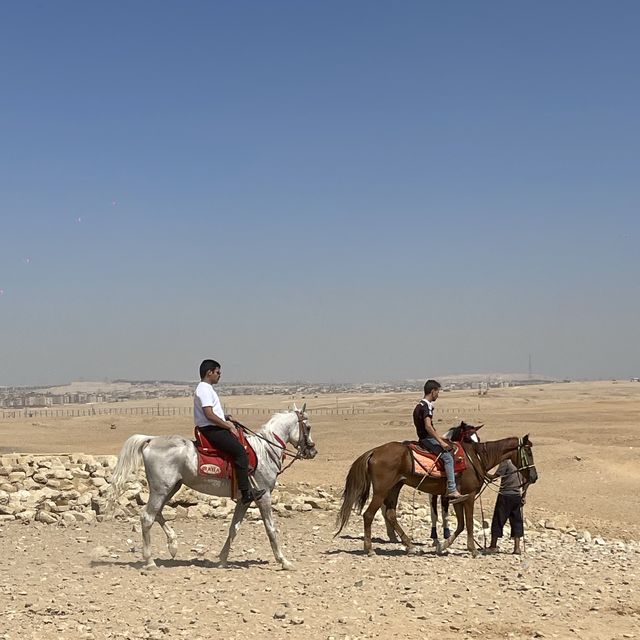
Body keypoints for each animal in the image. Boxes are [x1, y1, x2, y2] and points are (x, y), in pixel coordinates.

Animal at [109, 408, 316, 568]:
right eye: (308, 427)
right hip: (161, 489)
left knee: (157, 513)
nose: (313, 451)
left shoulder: (244, 499)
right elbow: (271, 529)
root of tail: (151, 441)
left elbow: (234, 528)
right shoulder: (263, 496)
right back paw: (150, 561)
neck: (264, 451)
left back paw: (173, 545)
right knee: (147, 518)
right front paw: (284, 561)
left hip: (171, 488)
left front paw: (222, 560)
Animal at [338, 436, 536, 556]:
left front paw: (442, 546)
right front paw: (473, 550)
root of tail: (374, 451)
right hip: (382, 490)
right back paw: (370, 549)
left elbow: (460, 525)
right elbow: (469, 524)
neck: (476, 458)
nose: (534, 477)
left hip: (395, 487)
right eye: (529, 452)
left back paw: (410, 545)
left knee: (390, 514)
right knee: (369, 514)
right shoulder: (469, 496)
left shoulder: (457, 498)